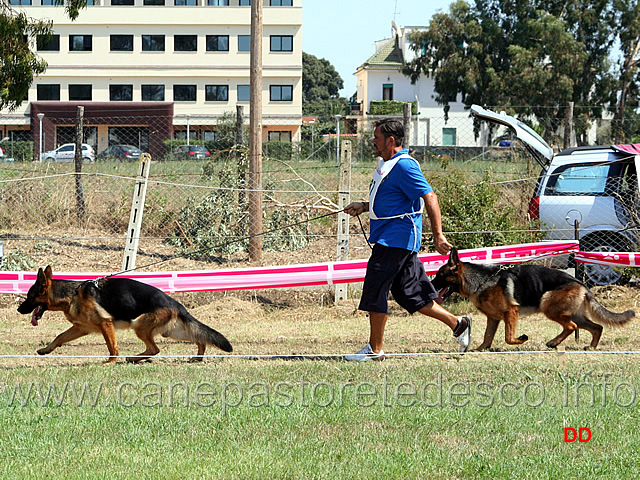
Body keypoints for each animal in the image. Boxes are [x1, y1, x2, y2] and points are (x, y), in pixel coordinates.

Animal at [16, 266, 232, 364]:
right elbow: (60, 337)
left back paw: (133, 358)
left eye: (29, 297)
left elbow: (112, 347)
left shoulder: (105, 324)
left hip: (140, 325)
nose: (18, 309)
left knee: (154, 349)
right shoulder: (81, 328)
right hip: (171, 331)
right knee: (199, 337)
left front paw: (110, 362)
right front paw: (46, 350)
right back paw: (198, 356)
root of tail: (175, 303)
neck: (71, 294)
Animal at [430, 248, 636, 348]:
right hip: (575, 314)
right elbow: (488, 337)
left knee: (572, 326)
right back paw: (590, 347)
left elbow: (508, 337)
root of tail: (581, 284)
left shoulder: (510, 312)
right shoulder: (493, 318)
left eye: (440, 275)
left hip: (548, 305)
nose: (430, 284)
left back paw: (554, 342)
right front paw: (480, 349)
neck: (482, 280)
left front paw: (521, 340)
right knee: (596, 327)